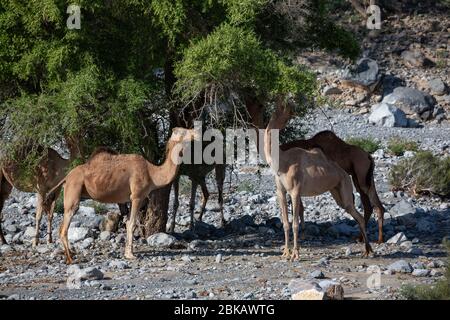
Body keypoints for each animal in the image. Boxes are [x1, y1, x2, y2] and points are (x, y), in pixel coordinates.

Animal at [45, 126, 199, 264]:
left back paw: (69, 256)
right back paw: (71, 259)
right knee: (64, 227)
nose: (196, 133)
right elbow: (132, 223)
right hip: (74, 191)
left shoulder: (131, 199)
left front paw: (127, 252)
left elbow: (128, 222)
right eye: (183, 131)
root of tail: (66, 177)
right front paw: (130, 255)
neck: (152, 173)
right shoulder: (137, 196)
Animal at [264, 99, 372, 262]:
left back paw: (368, 250)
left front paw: (295, 255)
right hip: (336, 191)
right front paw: (285, 254)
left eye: (283, 112)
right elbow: (285, 224)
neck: (282, 162)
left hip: (345, 186)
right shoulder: (281, 192)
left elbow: (295, 224)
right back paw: (367, 250)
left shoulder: (295, 191)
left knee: (357, 214)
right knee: (354, 212)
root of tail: (344, 173)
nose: (271, 121)